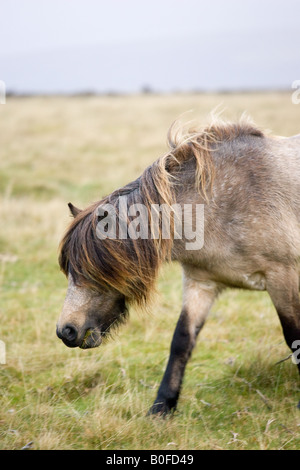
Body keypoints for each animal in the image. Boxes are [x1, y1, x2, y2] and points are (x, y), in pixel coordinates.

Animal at [56, 117, 300, 414]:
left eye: (94, 271)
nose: (66, 331)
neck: (226, 202)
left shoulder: (281, 277)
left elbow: (294, 337)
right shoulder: (200, 284)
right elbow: (181, 341)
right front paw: (162, 407)